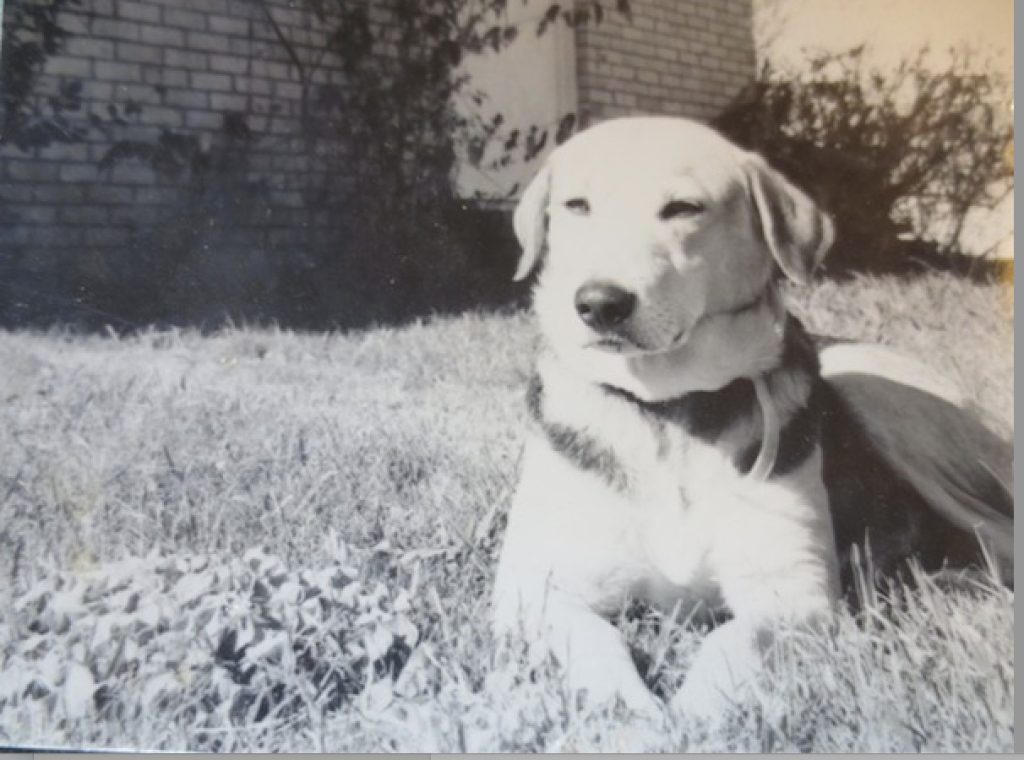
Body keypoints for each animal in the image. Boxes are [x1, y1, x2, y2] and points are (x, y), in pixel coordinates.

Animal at [489, 116, 1015, 725]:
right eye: (576, 205)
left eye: (683, 208)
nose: (600, 304)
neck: (669, 409)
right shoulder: (538, 587)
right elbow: (593, 638)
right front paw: (629, 712)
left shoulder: (792, 592)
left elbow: (734, 639)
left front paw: (694, 714)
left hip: (879, 401)